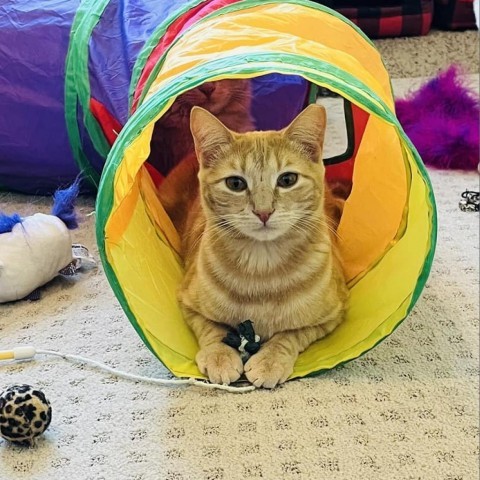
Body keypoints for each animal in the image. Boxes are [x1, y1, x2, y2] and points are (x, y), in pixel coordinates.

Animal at [158, 104, 348, 386]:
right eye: (235, 184)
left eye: (287, 180)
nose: (263, 211)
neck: (262, 269)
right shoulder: (187, 302)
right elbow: (212, 330)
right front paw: (220, 356)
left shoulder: (333, 313)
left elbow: (290, 334)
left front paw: (271, 360)